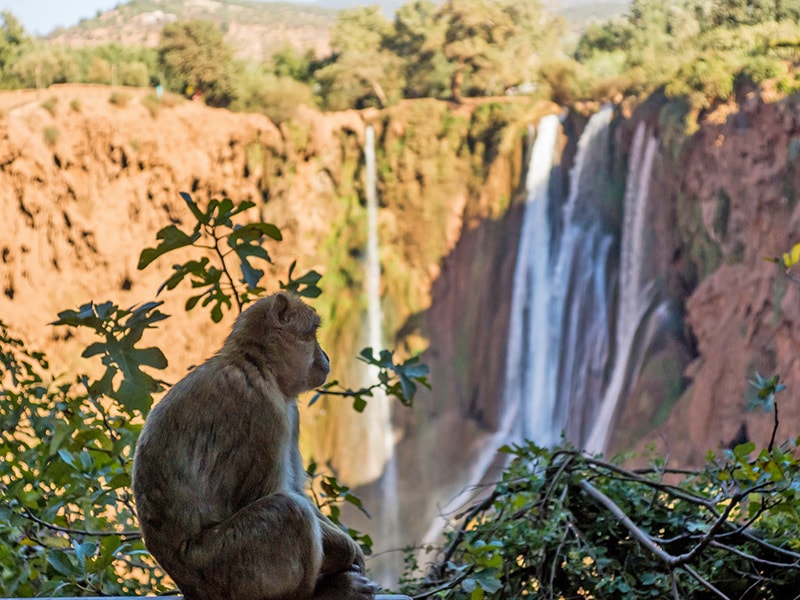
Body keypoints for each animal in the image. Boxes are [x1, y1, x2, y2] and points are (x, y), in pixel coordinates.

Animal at [132, 292, 380, 600]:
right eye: (313, 334)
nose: (326, 356)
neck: (257, 364)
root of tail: (188, 585)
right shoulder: (262, 408)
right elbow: (269, 493)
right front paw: (348, 551)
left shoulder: (289, 413)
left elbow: (295, 489)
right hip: (223, 566)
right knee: (289, 512)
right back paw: (323, 592)